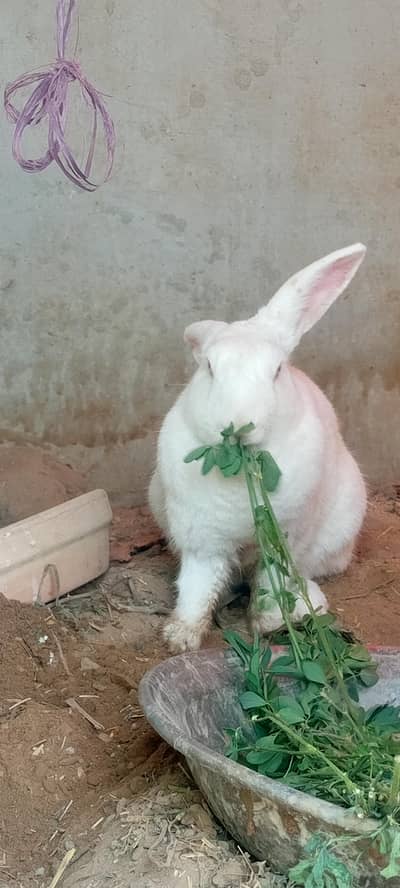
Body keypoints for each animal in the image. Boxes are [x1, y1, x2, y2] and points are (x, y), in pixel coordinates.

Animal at [149, 243, 367, 653]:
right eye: (210, 368)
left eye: (278, 370)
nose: (237, 423)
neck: (241, 473)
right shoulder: (202, 541)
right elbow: (197, 588)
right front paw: (180, 637)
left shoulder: (285, 539)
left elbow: (269, 580)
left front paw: (267, 624)